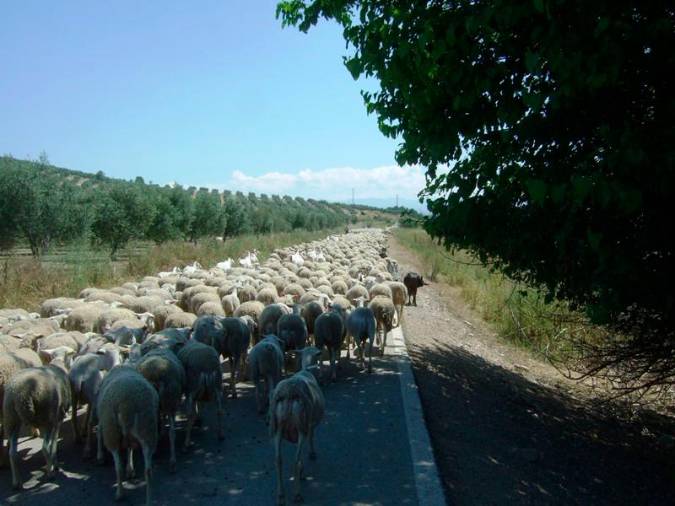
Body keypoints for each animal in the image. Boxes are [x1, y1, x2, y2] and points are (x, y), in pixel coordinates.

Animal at [95, 364, 158, 506]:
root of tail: (127, 404)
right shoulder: (130, 437)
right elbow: (130, 449)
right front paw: (131, 469)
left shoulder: (106, 426)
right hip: (147, 430)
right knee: (148, 471)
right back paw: (149, 501)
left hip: (112, 432)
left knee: (118, 468)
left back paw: (120, 494)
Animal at [270, 346, 324, 504]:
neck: (306, 370)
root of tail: (288, 392)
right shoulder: (309, 424)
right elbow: (311, 438)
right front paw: (311, 455)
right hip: (300, 427)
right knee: (296, 460)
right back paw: (297, 493)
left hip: (277, 428)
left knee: (278, 460)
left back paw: (281, 494)